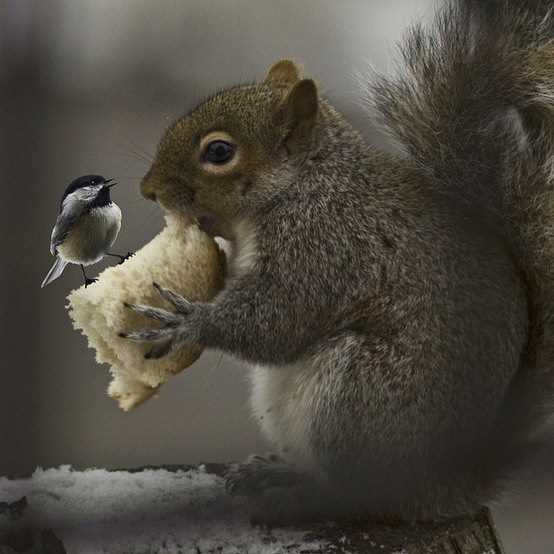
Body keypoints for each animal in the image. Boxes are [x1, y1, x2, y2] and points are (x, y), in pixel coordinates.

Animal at [126, 0, 552, 520]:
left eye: (220, 151)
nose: (148, 190)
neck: (306, 182)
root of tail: (446, 489)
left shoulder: (324, 244)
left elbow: (279, 319)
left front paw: (186, 323)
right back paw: (277, 472)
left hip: (358, 399)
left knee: (358, 494)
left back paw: (302, 497)